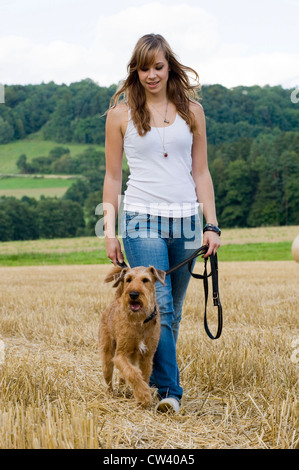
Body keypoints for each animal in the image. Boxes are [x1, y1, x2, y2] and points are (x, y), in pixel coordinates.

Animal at [99, 264, 166, 408]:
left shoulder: (147, 357)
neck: (140, 322)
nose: (133, 294)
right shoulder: (120, 355)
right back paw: (110, 394)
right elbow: (134, 373)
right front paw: (144, 396)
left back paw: (123, 389)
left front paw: (143, 394)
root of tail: (116, 299)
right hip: (108, 357)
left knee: (122, 376)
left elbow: (142, 376)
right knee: (109, 380)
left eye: (145, 280)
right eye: (128, 279)